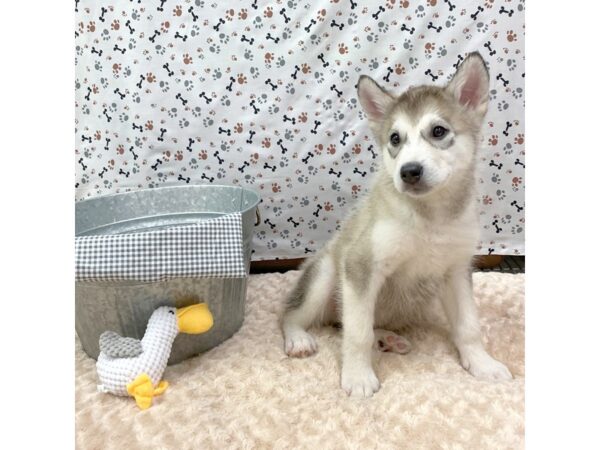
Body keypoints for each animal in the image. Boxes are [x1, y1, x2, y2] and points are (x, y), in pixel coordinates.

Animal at [282, 51, 510, 398]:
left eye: (438, 131)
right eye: (394, 138)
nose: (409, 171)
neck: (430, 218)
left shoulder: (456, 270)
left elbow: (469, 326)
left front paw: (482, 364)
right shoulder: (361, 266)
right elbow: (357, 334)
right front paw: (358, 377)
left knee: (347, 323)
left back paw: (387, 338)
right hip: (325, 276)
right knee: (296, 315)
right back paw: (297, 337)